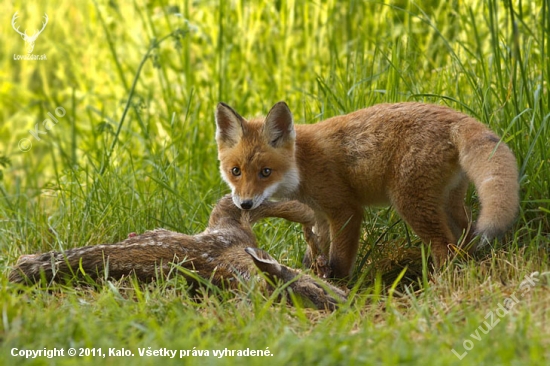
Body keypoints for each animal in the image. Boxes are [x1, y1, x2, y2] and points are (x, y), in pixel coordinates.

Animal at [216, 101, 520, 278]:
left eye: (265, 172)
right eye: (236, 171)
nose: (245, 204)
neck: (302, 163)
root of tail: (455, 115)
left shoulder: (345, 210)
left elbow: (339, 260)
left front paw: (338, 290)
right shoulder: (320, 214)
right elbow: (317, 249)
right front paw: (313, 273)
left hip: (411, 204)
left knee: (444, 246)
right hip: (448, 202)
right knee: (465, 238)